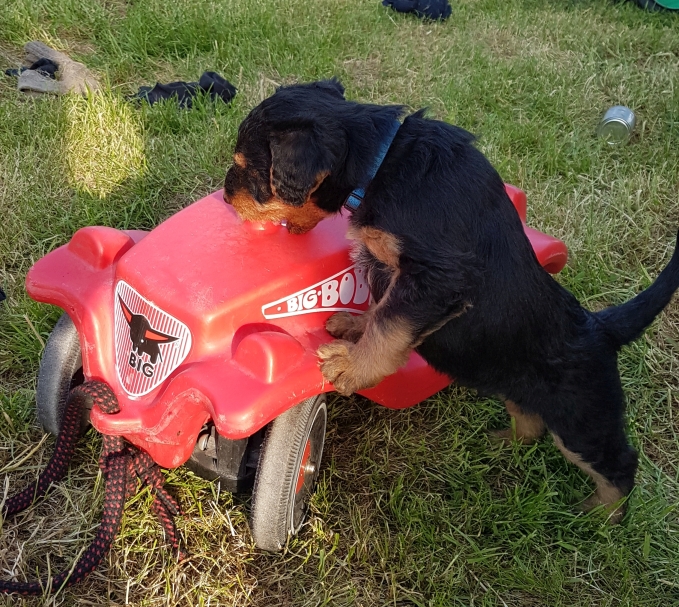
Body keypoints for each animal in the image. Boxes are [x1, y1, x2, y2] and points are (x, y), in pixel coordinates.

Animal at [224, 79, 679, 521]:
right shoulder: (400, 270)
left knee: (618, 463)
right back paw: (502, 441)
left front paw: (350, 367)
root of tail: (599, 327)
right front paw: (352, 325)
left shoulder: (437, 276)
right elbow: (382, 305)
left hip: (581, 419)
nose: (227, 198)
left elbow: (390, 322)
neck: (384, 162)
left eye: (248, 169)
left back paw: (601, 516)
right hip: (513, 383)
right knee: (530, 422)